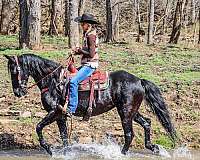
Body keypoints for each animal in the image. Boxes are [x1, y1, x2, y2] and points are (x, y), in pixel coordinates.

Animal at [3, 54, 176, 156]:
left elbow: (38, 127)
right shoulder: (61, 117)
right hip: (132, 111)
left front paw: (49, 148)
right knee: (147, 123)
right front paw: (65, 153)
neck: (53, 81)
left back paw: (121, 153)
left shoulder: (55, 112)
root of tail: (139, 80)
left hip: (125, 113)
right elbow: (64, 137)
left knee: (129, 134)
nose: (18, 92)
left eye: (14, 71)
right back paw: (153, 147)